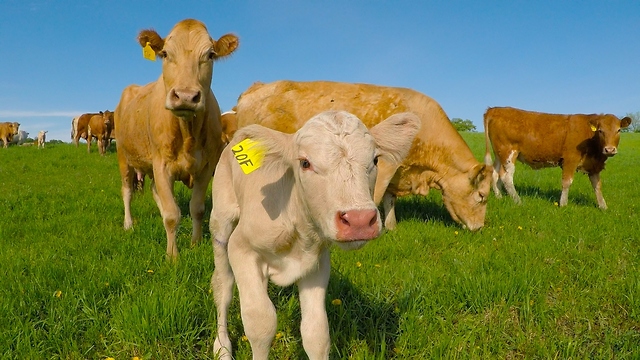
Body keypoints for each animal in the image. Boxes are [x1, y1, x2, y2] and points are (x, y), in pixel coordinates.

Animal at [114, 19, 239, 258]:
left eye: (210, 55)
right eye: (165, 54)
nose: (186, 96)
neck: (188, 132)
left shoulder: (206, 167)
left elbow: (197, 208)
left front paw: (195, 243)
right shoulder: (161, 164)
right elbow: (172, 215)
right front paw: (172, 256)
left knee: (156, 192)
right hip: (124, 157)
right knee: (127, 192)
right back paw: (128, 224)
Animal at [210, 110, 420, 360]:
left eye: (375, 160)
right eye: (305, 163)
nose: (359, 220)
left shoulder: (317, 264)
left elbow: (316, 333)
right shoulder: (242, 249)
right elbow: (261, 324)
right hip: (221, 220)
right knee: (223, 285)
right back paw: (222, 347)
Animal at [232, 80, 492, 231]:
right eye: (481, 196)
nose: (479, 228)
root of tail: (257, 87)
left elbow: (389, 199)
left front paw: (391, 226)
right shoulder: (385, 165)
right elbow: (376, 196)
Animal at [484, 106, 632, 208]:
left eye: (618, 130)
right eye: (601, 131)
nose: (609, 149)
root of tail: (495, 109)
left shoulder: (593, 165)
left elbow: (597, 185)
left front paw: (603, 206)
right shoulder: (570, 159)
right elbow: (567, 182)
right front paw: (563, 203)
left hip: (499, 154)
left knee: (495, 174)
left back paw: (499, 197)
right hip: (508, 152)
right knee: (506, 176)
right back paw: (518, 200)